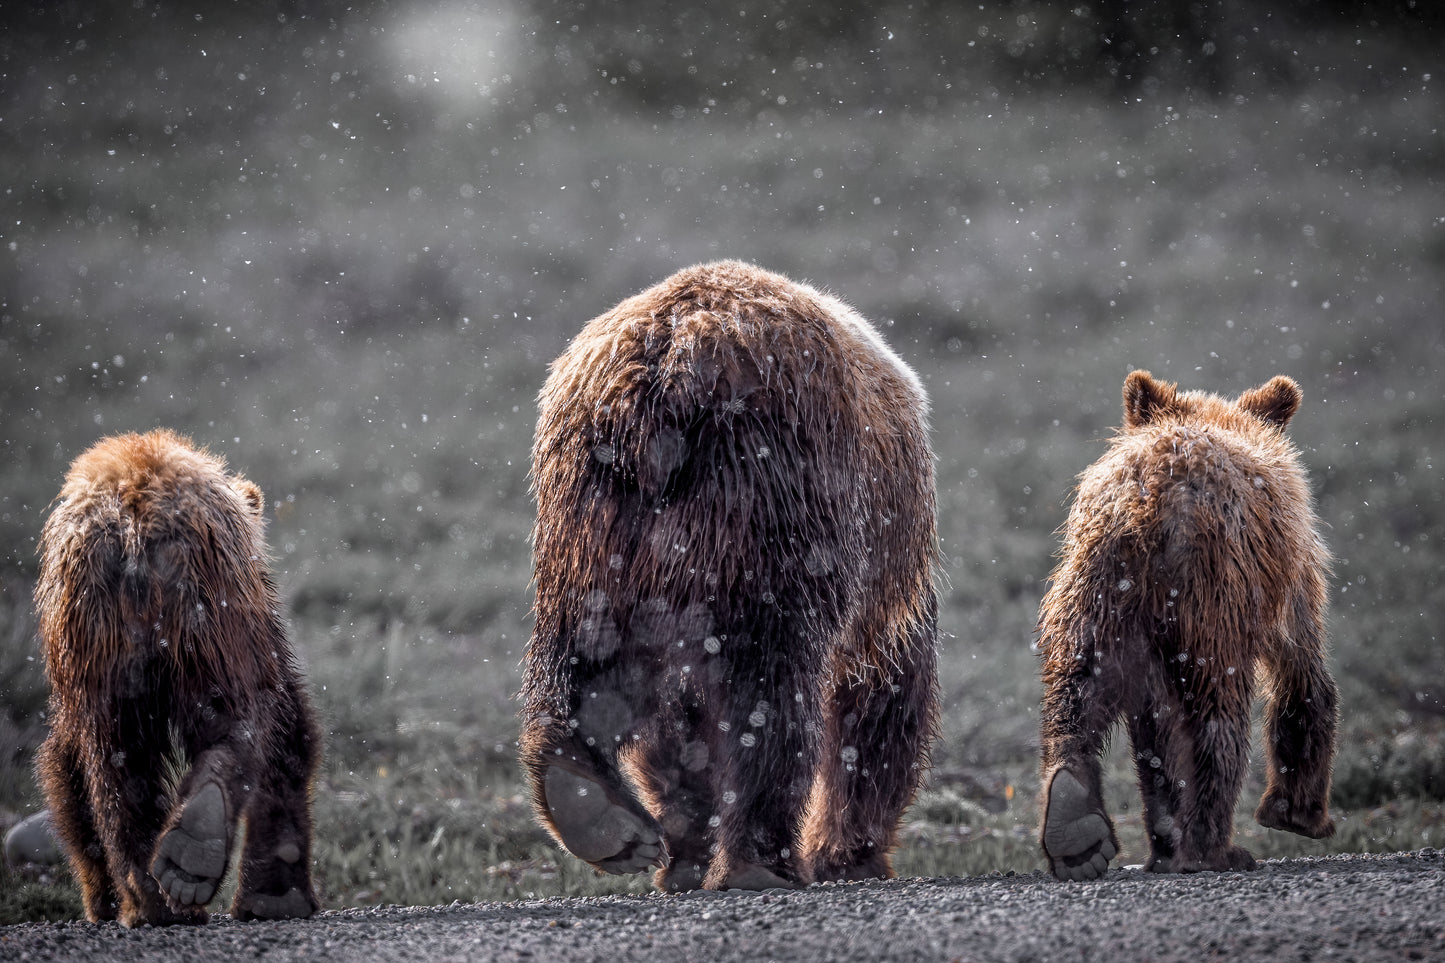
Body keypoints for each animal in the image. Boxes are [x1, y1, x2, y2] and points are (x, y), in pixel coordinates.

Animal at [34, 428, 319, 925]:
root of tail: (137, 524)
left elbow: (66, 770)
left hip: (135, 618)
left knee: (121, 758)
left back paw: (161, 890)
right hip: (201, 611)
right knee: (234, 720)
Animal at [520, 258, 936, 890]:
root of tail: (664, 371)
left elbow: (675, 735)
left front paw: (685, 854)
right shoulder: (883, 589)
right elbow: (879, 707)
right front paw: (850, 853)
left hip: (588, 518)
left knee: (586, 652)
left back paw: (591, 805)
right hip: (767, 496)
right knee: (771, 684)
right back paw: (760, 862)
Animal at [1040, 367, 1329, 879]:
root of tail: (1156, 498)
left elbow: (1155, 729)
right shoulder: (1290, 575)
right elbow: (1303, 674)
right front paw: (1298, 811)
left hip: (1095, 585)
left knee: (1080, 682)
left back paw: (1077, 826)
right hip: (1213, 596)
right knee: (1217, 716)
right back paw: (1215, 848)